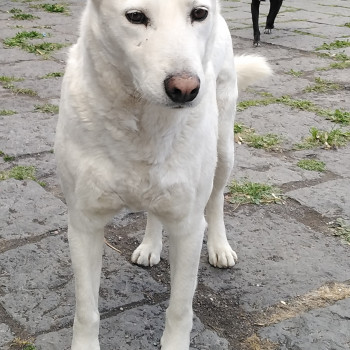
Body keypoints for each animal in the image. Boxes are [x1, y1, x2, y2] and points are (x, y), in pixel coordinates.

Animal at [55, 0, 270, 348]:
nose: (185, 89)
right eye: (135, 17)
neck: (143, 121)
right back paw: (150, 246)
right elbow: (86, 310)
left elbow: (180, 309)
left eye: (199, 13)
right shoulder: (84, 223)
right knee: (154, 211)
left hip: (224, 151)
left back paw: (220, 247)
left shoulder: (188, 228)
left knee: (216, 200)